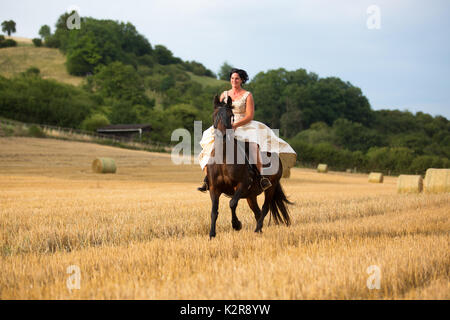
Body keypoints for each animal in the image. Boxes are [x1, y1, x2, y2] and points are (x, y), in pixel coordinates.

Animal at [206, 94, 294, 238]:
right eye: (214, 115)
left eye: (231, 115)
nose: (222, 136)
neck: (223, 158)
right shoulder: (214, 188)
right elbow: (214, 211)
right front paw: (212, 234)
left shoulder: (242, 184)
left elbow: (232, 203)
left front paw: (236, 224)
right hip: (251, 195)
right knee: (257, 212)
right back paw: (259, 230)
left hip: (270, 187)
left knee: (264, 208)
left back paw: (257, 229)